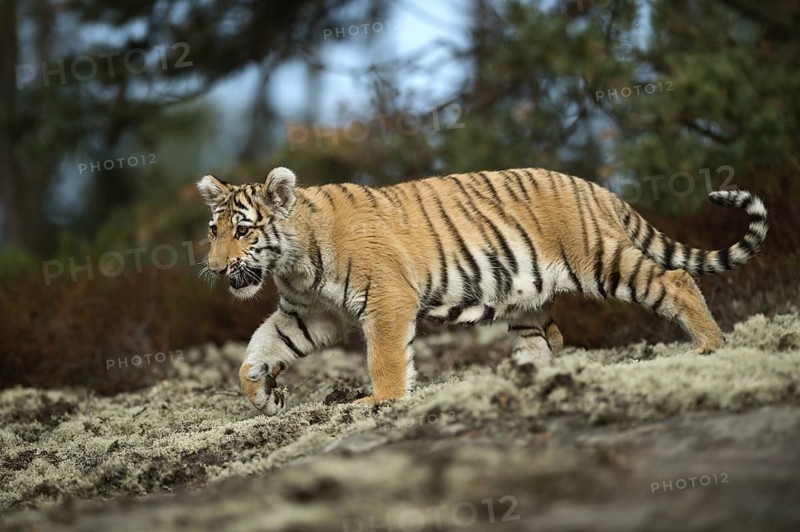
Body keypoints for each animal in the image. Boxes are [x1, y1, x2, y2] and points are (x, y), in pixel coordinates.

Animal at [197, 167, 768, 415]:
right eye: (213, 230)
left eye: (243, 231)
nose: (215, 269)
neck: (292, 261)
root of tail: (596, 186)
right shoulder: (309, 313)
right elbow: (257, 350)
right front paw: (264, 394)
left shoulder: (386, 299)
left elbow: (385, 356)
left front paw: (380, 400)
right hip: (528, 302)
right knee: (545, 343)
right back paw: (525, 381)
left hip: (601, 260)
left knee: (675, 279)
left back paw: (710, 347)